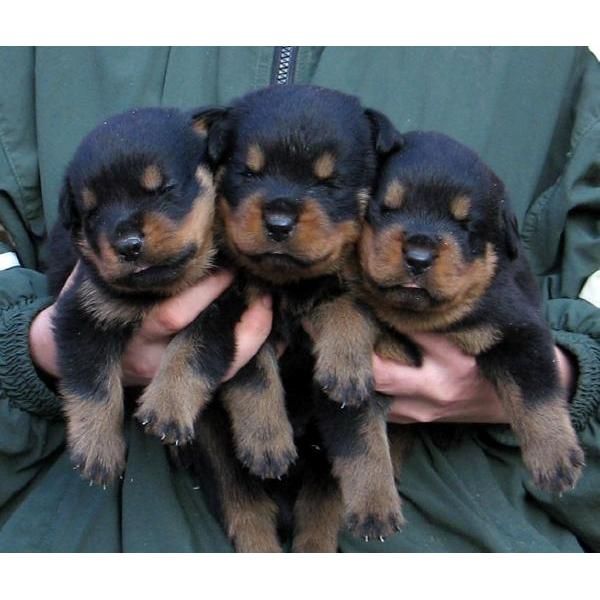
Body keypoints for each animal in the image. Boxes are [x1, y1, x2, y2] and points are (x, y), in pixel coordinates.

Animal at [48, 106, 254, 482]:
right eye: (92, 212)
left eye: (164, 189)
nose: (128, 245)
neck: (159, 290)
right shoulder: (83, 310)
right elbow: (92, 382)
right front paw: (97, 448)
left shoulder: (221, 306)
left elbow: (191, 351)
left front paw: (168, 406)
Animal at [190, 85, 406, 552]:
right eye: (247, 173)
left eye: (330, 183)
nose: (278, 221)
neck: (289, 284)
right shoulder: (244, 310)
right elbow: (253, 371)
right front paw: (267, 438)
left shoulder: (354, 283)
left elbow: (348, 310)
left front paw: (345, 367)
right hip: (215, 444)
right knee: (245, 504)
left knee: (319, 507)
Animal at [354, 132, 584, 496]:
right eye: (386, 209)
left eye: (465, 225)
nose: (418, 257)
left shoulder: (518, 328)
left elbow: (536, 392)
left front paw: (555, 456)